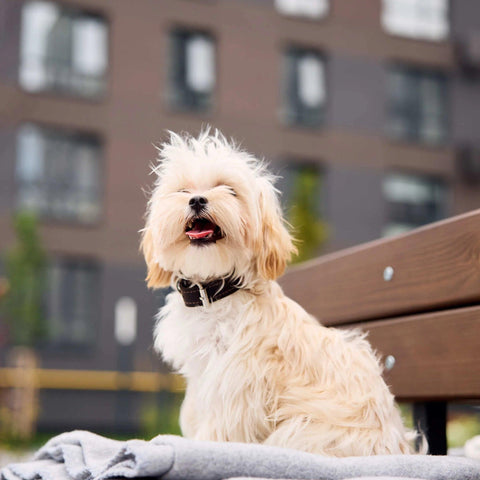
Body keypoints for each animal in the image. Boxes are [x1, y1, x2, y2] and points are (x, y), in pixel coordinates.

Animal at [141, 129, 422, 456]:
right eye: (184, 190)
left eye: (229, 190)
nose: (197, 199)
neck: (216, 291)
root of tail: (399, 444)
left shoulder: (237, 379)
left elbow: (222, 424)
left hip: (302, 431)